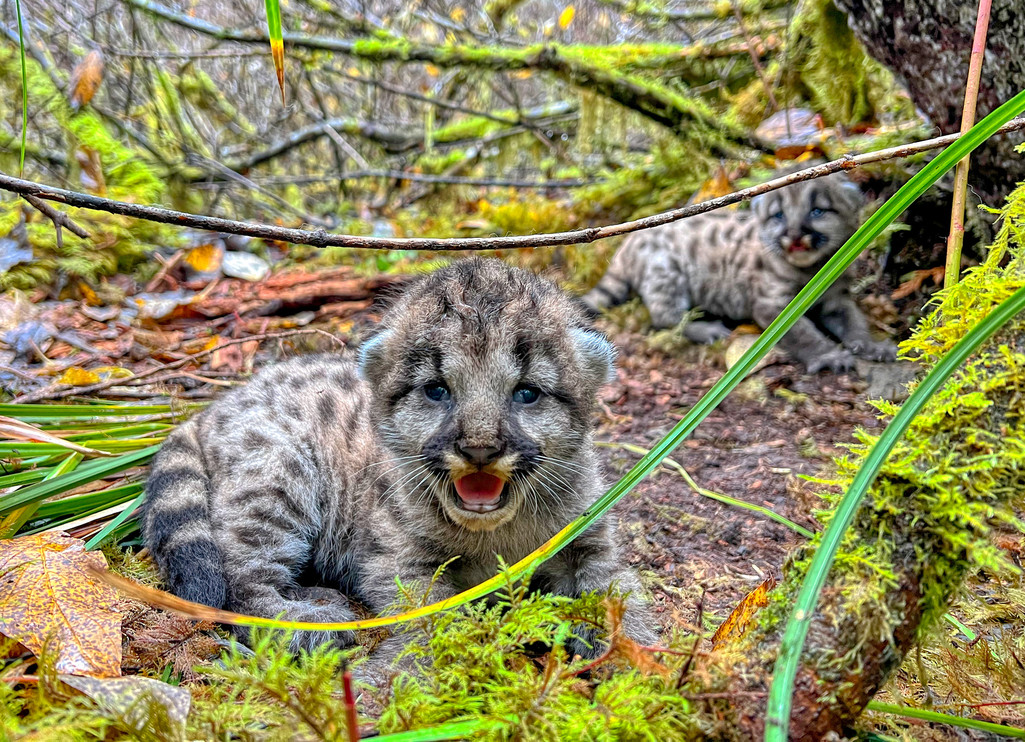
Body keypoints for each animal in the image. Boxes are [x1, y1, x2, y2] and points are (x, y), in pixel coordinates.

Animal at [142, 258, 656, 651]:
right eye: (436, 390)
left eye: (527, 393)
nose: (480, 449)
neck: (496, 536)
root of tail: (218, 403)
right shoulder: (399, 559)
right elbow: (428, 617)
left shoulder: (591, 538)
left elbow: (616, 589)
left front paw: (637, 656)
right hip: (276, 476)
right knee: (238, 583)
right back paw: (312, 623)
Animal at [586, 171, 897, 373]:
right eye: (778, 215)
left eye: (818, 211)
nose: (795, 236)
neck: (812, 270)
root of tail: (627, 244)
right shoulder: (772, 305)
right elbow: (803, 333)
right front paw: (829, 356)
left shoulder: (836, 298)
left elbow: (854, 320)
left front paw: (872, 345)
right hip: (666, 273)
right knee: (665, 318)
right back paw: (707, 329)